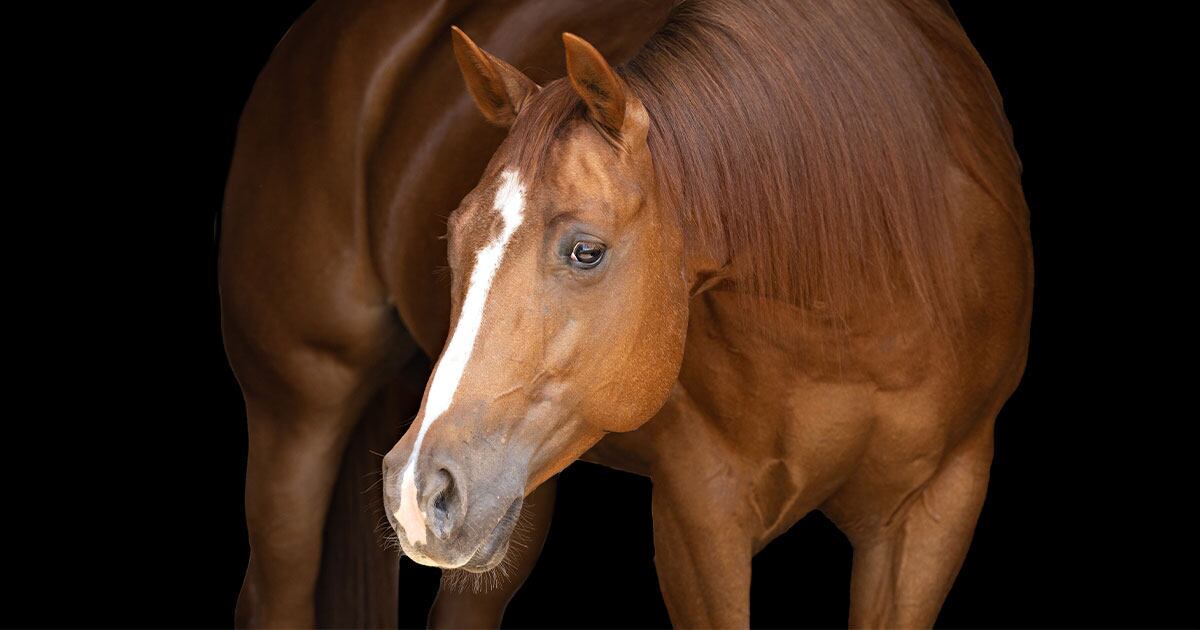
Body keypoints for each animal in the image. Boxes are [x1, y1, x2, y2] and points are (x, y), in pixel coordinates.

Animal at [222, 0, 1031, 627]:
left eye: (586, 251)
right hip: (299, 416)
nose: (419, 491)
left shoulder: (936, 510)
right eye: (452, 238)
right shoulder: (700, 517)